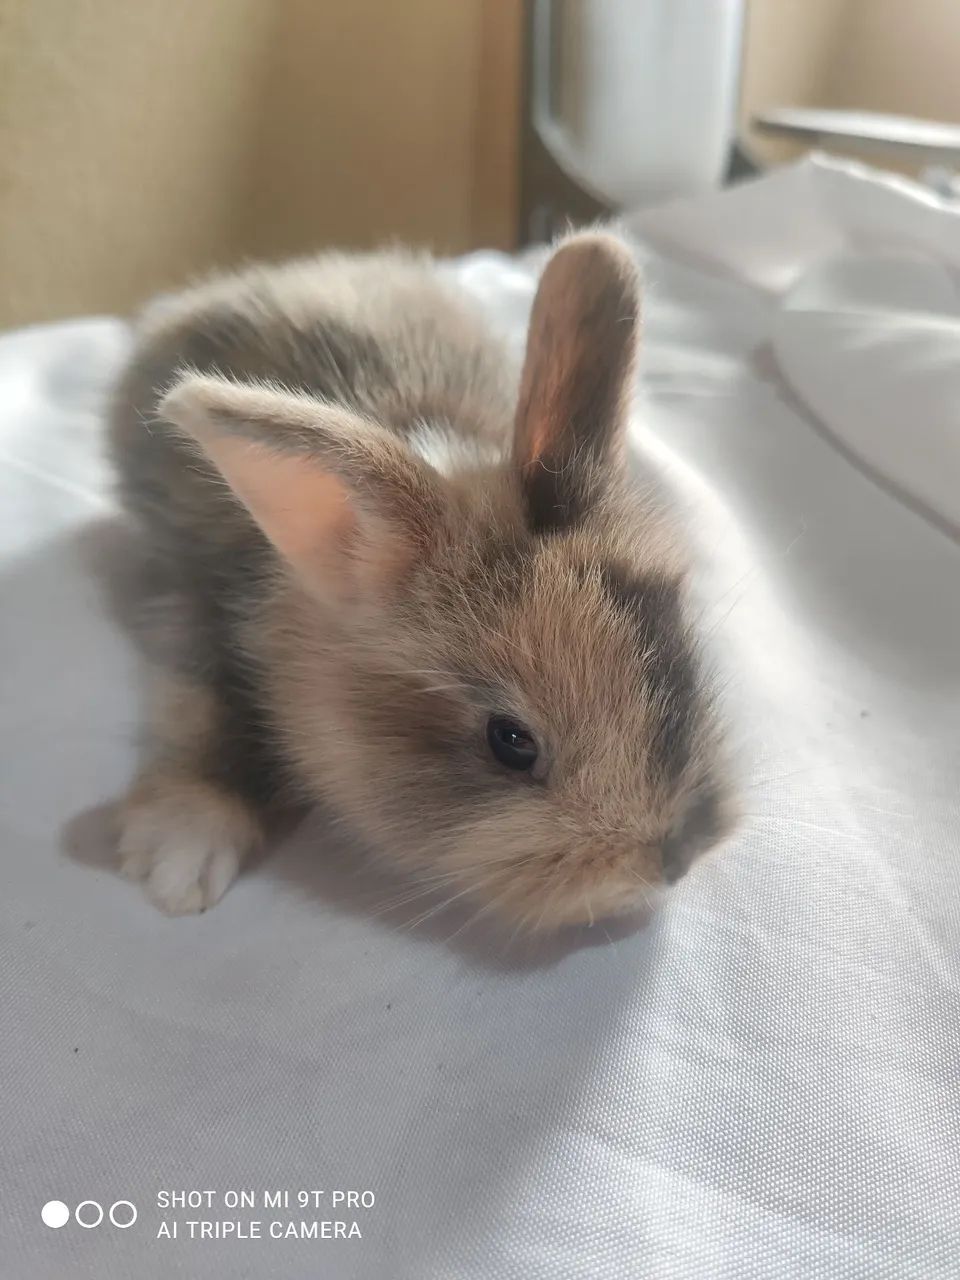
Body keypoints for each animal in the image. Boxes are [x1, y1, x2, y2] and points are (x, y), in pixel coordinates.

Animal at [108, 231, 736, 931]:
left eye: (682, 661)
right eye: (510, 742)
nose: (673, 859)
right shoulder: (197, 609)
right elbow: (208, 715)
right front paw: (180, 858)